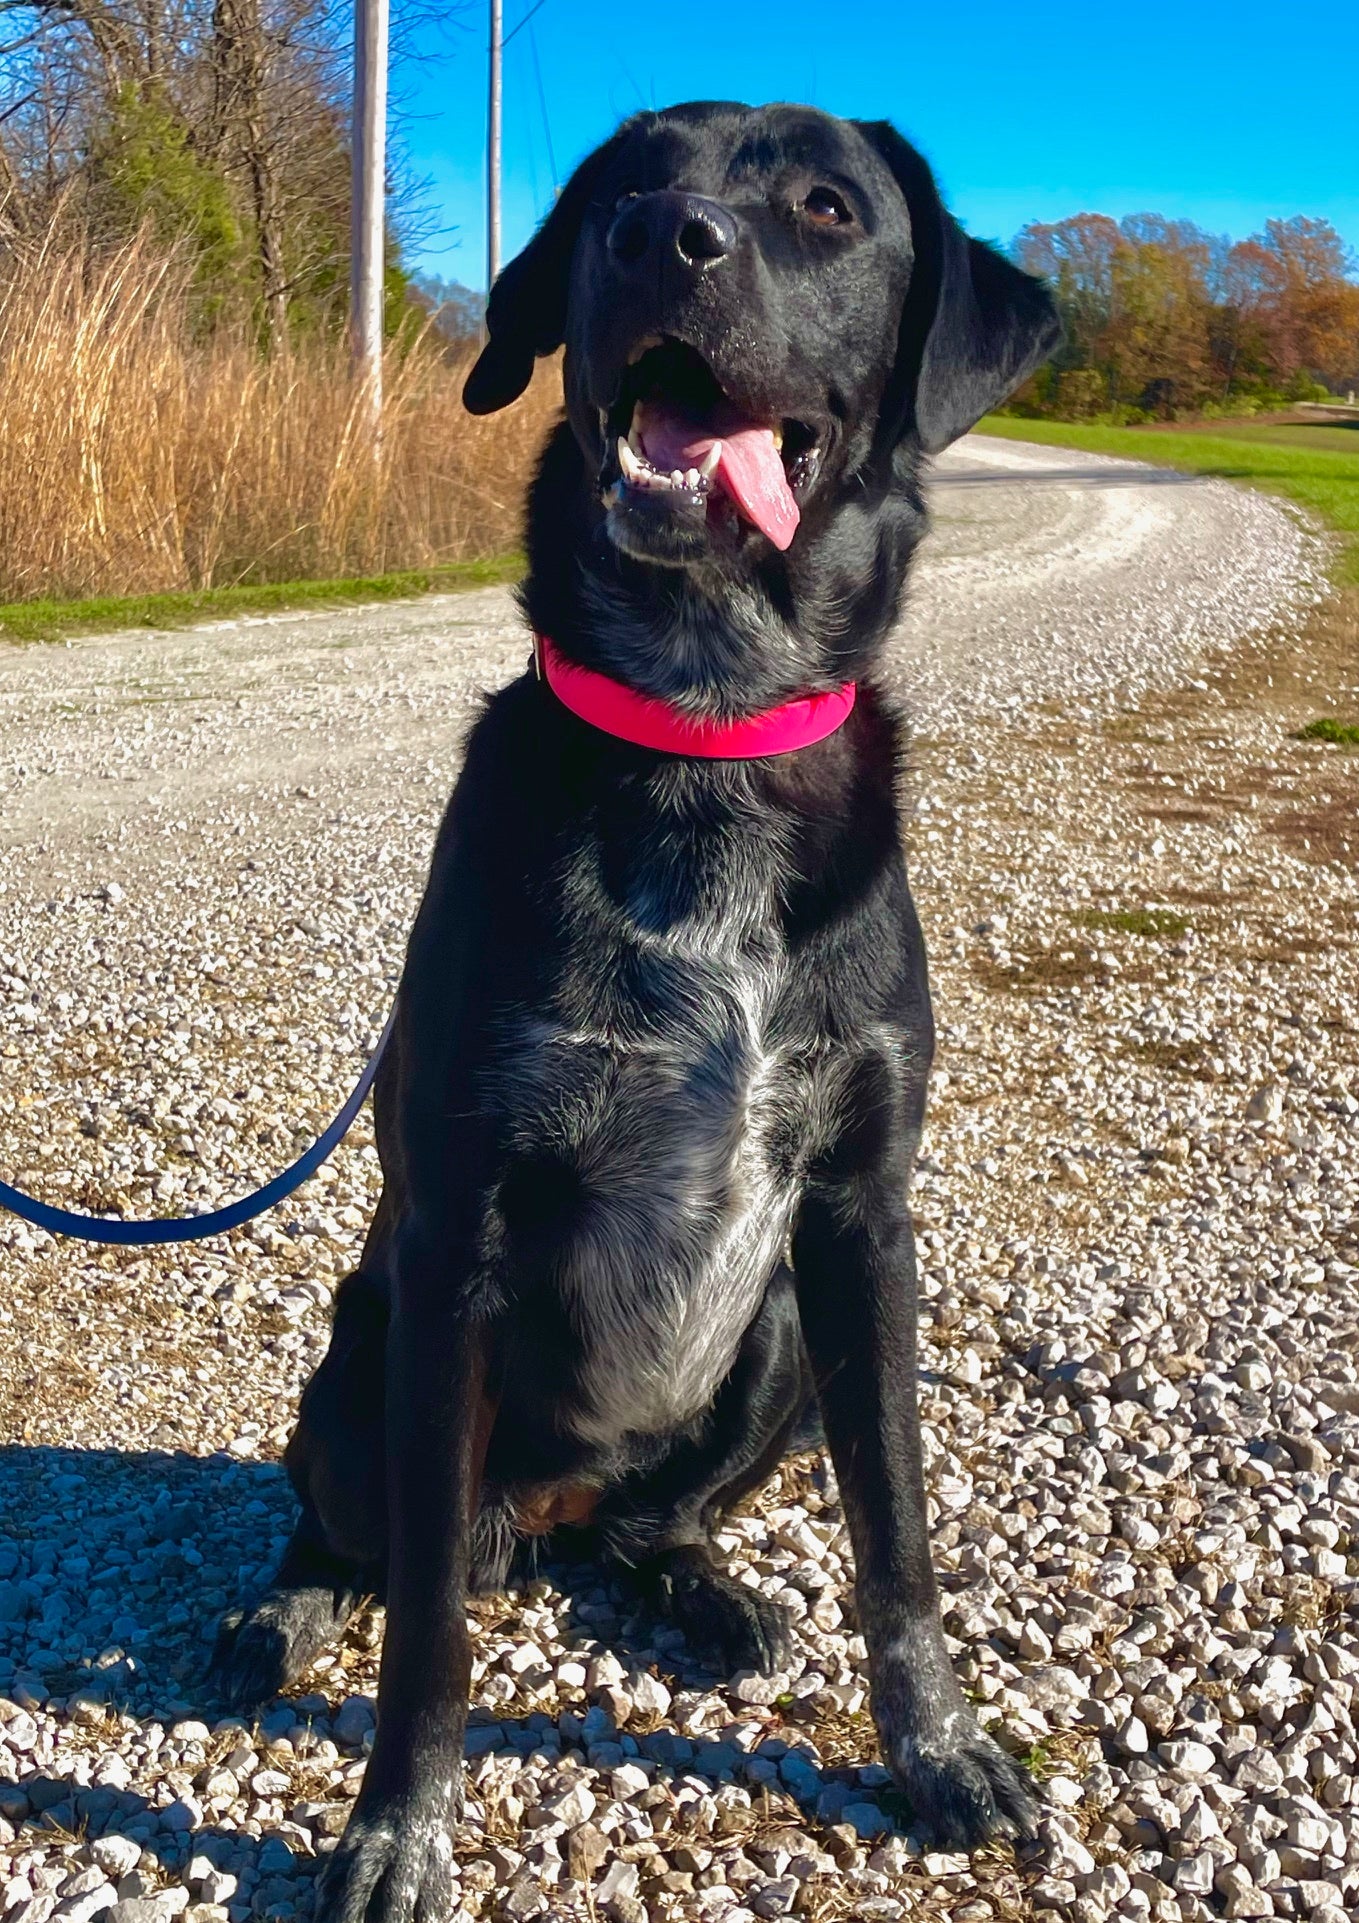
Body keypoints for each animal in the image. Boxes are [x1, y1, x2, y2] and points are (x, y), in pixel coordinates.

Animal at [209, 101, 1061, 1923]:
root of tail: (546, 1506)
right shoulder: (456, 1233)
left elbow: (898, 1537)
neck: (702, 721)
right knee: (366, 1532)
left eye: (823, 206)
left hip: (775, 1341)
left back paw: (703, 1589)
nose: (659, 237)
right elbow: (431, 1640)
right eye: (620, 181)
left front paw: (941, 1747)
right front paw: (395, 1827)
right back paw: (287, 1604)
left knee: (639, 1528)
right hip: (362, 1355)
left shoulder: (858, 1217)